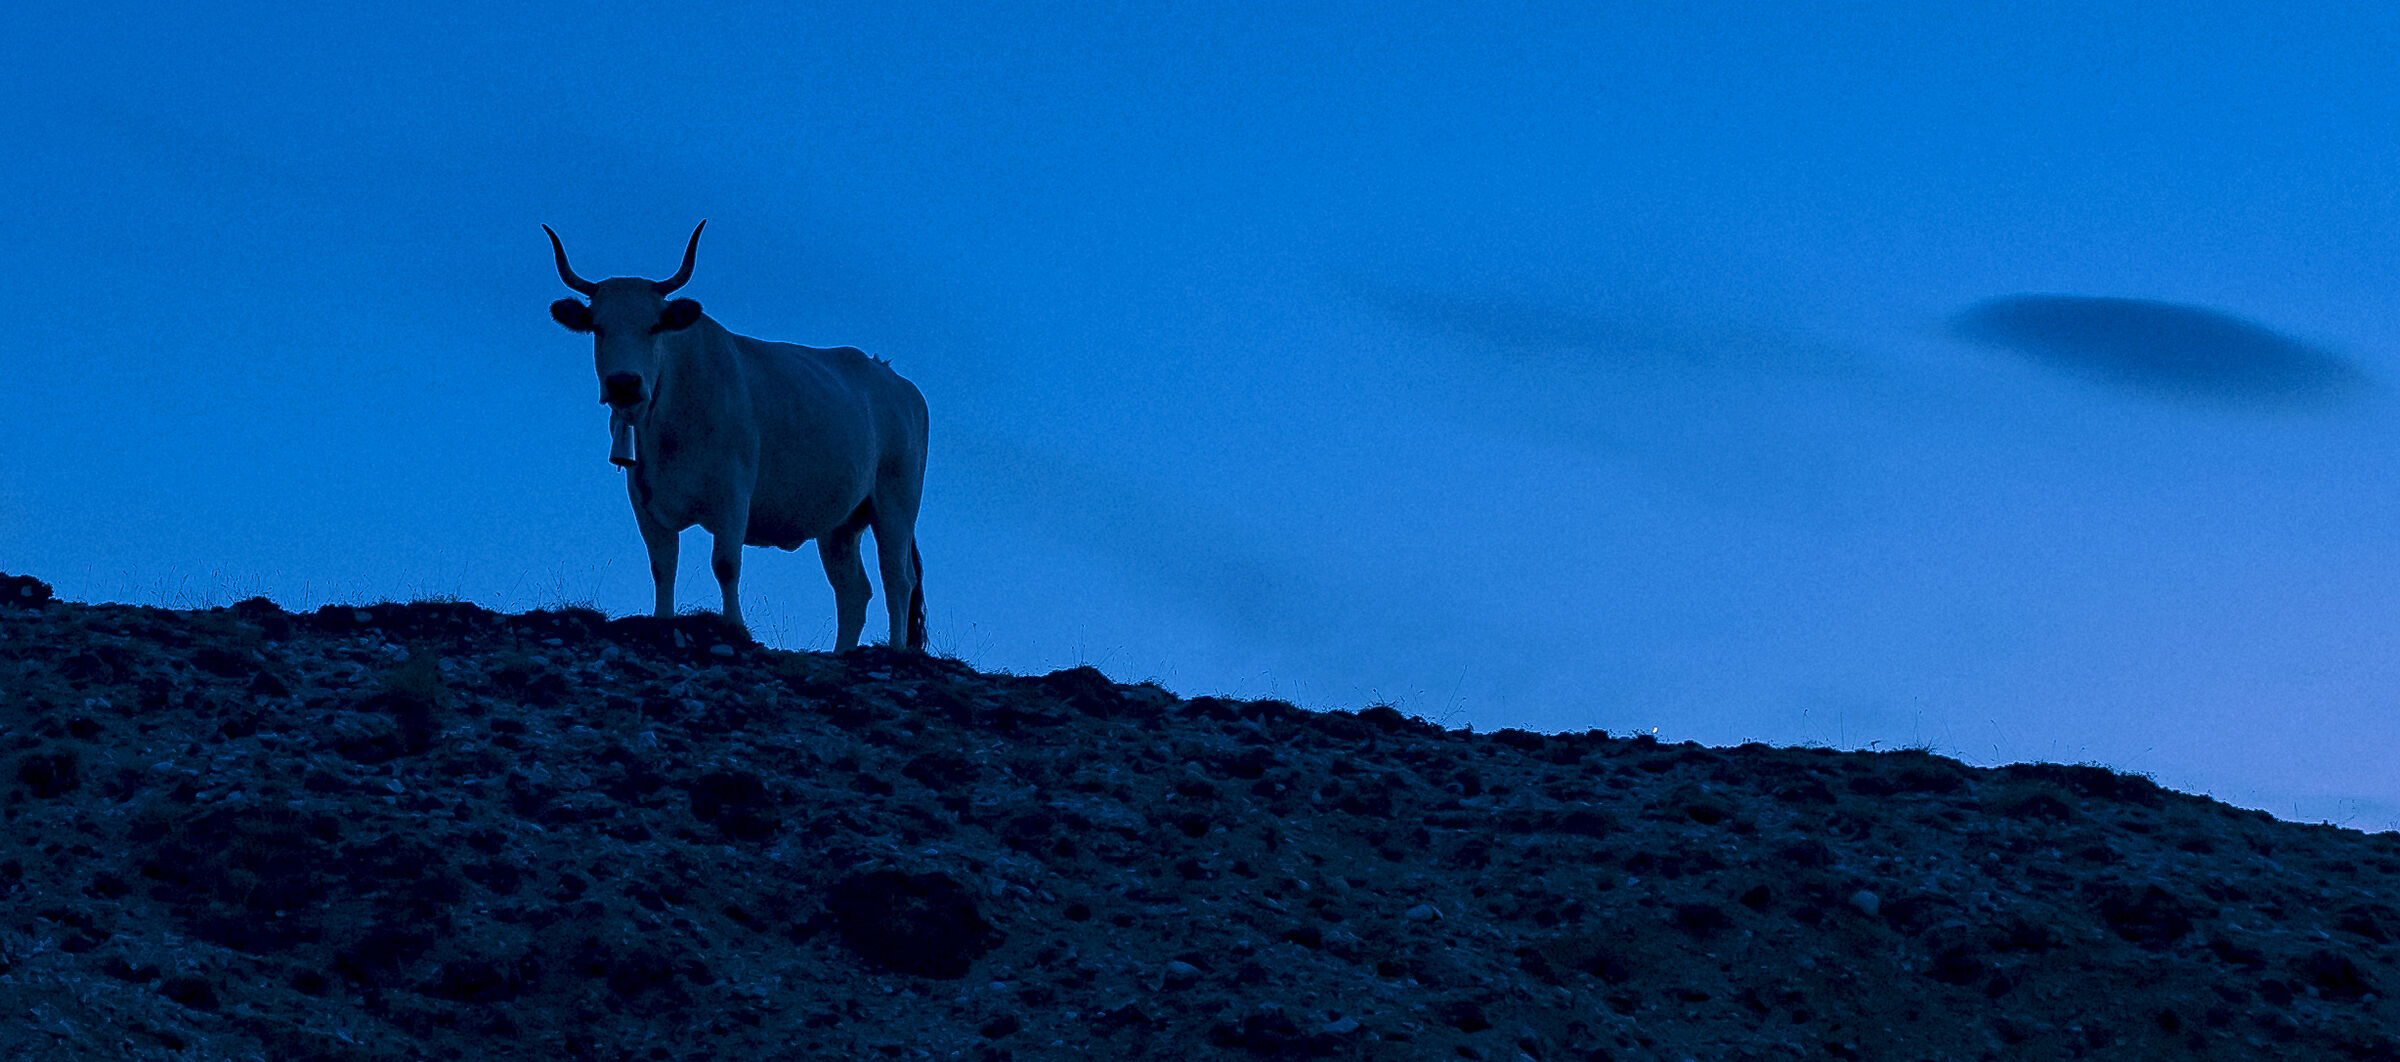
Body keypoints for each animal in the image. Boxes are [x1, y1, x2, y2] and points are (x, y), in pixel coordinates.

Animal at [543, 221, 929, 651]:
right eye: (598, 327)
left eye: (655, 326)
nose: (624, 383)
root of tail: (894, 379)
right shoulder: (644, 498)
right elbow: (663, 564)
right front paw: (663, 620)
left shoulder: (732, 493)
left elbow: (725, 564)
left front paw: (734, 626)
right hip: (841, 522)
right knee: (853, 590)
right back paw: (843, 653)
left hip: (896, 501)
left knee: (897, 578)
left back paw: (895, 651)